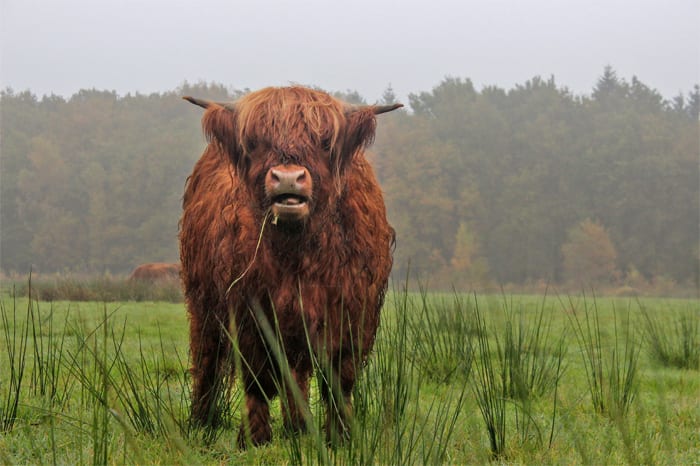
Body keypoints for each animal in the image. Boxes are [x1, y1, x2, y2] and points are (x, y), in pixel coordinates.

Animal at [178, 85, 402, 446]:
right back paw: (201, 421)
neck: (295, 250)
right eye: (256, 141)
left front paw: (340, 437)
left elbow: (338, 381)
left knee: (296, 374)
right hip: (204, 306)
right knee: (207, 361)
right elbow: (255, 379)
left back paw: (299, 427)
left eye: (324, 142)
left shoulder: (349, 312)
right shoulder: (247, 311)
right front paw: (254, 438)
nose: (287, 178)